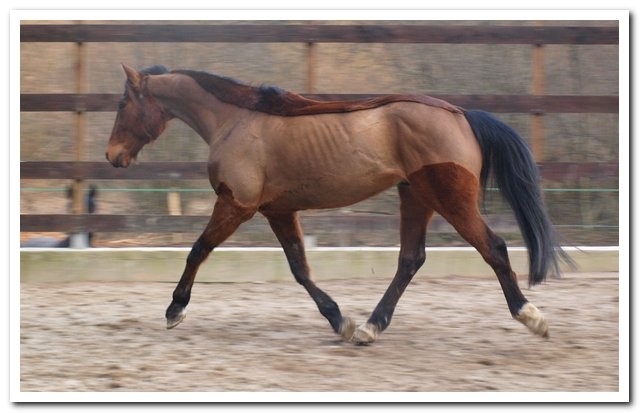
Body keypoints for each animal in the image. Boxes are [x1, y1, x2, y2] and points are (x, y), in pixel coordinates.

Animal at [107, 62, 568, 342]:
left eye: (123, 102)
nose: (113, 155)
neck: (236, 121)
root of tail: (462, 115)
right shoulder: (278, 210)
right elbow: (299, 268)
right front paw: (339, 319)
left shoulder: (237, 205)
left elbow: (198, 249)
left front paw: (175, 309)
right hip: (415, 196)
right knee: (410, 259)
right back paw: (369, 327)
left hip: (450, 199)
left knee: (494, 248)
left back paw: (532, 316)